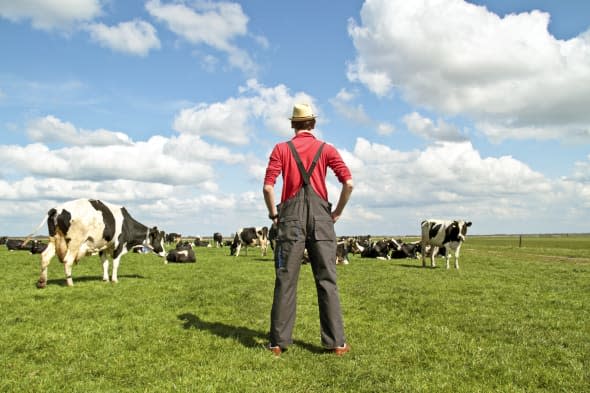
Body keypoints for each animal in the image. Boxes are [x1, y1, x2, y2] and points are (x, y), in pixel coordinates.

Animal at [31, 198, 168, 286]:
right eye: (158, 239)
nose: (165, 253)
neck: (127, 225)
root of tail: (57, 209)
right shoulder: (119, 245)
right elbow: (115, 264)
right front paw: (114, 280)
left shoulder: (103, 246)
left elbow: (105, 264)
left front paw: (105, 279)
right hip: (74, 242)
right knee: (67, 260)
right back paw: (70, 283)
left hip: (54, 240)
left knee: (45, 256)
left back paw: (42, 282)